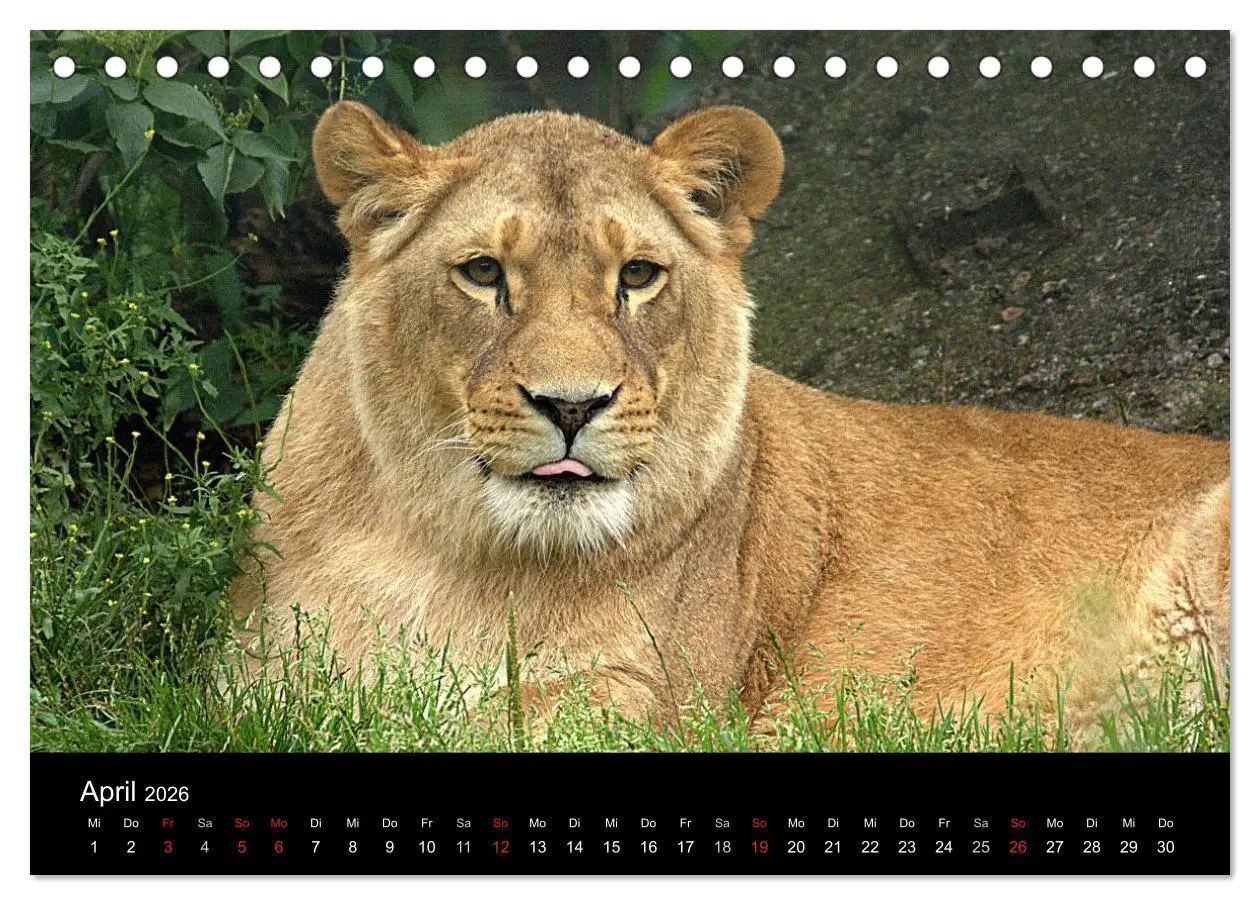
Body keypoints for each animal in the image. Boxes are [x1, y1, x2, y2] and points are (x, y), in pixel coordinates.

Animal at [232, 101, 1229, 736]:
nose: (571, 405)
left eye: (637, 275)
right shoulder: (257, 677)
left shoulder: (647, 702)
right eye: (482, 273)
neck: (457, 555)